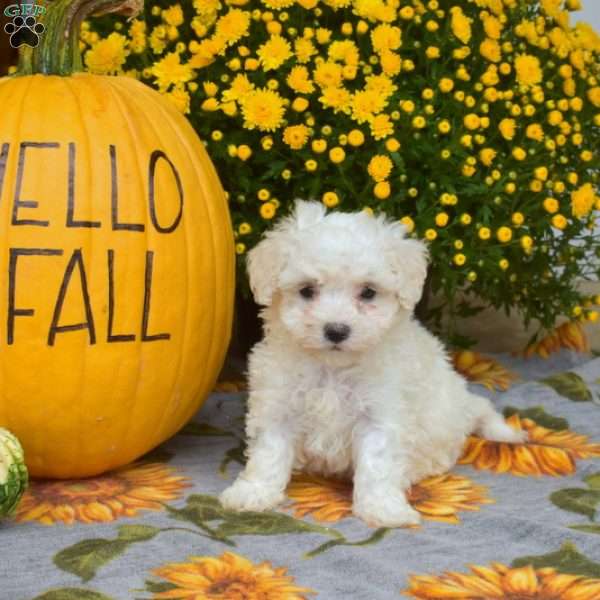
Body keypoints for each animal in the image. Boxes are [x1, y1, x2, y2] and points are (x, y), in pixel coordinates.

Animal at [220, 200, 524, 524]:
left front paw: (382, 508)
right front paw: (254, 493)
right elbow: (269, 452)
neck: (332, 368)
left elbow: (377, 464)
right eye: (306, 290)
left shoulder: (381, 413)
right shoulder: (278, 403)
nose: (336, 330)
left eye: (368, 292)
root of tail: (465, 405)